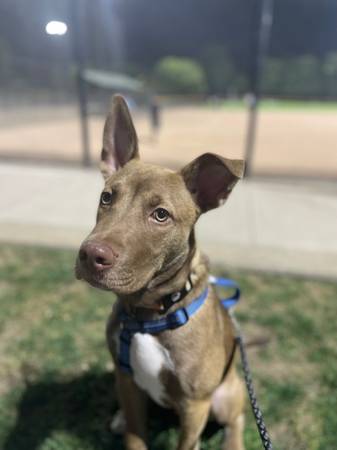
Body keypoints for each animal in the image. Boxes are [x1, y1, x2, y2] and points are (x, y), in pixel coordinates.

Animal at [75, 96, 244, 450]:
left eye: (161, 215)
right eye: (106, 197)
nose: (91, 255)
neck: (147, 312)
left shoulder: (195, 404)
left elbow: (186, 443)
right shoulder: (126, 380)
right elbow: (134, 436)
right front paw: (126, 424)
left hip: (226, 395)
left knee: (236, 417)